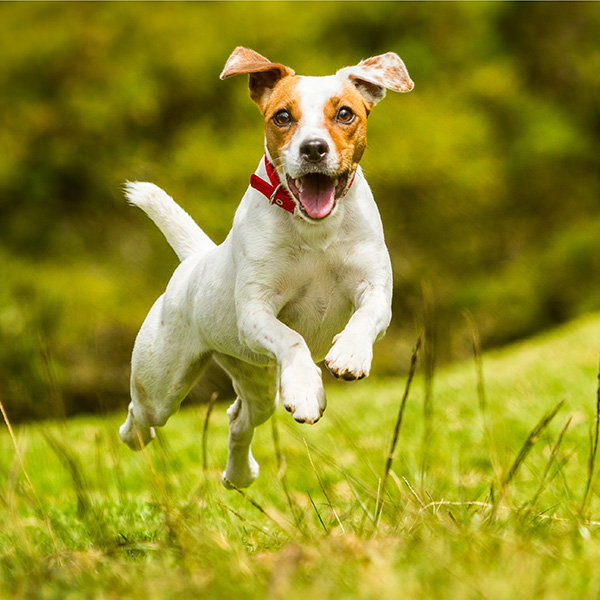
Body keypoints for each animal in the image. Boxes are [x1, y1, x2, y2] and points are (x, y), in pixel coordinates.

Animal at [120, 47, 414, 488]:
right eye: (282, 116)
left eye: (345, 113)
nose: (313, 148)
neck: (315, 231)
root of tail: (194, 260)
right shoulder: (256, 312)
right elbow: (291, 339)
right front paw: (307, 389)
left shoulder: (375, 289)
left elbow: (365, 317)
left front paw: (349, 354)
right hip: (162, 382)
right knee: (141, 415)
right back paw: (136, 436)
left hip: (255, 378)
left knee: (239, 418)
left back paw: (239, 474)